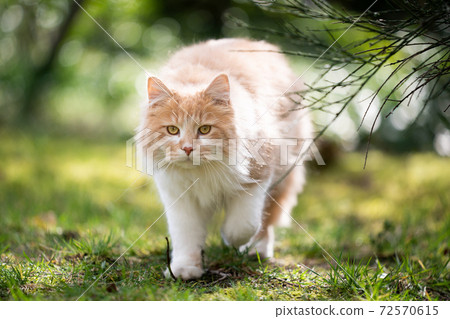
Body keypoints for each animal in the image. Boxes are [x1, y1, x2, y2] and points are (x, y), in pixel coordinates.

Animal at [139, 38, 312, 282]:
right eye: (172, 130)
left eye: (204, 129)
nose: (187, 148)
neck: (201, 173)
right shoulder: (179, 198)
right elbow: (185, 237)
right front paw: (185, 268)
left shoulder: (258, 177)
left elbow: (244, 224)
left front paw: (232, 239)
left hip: (283, 174)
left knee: (266, 223)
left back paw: (256, 250)